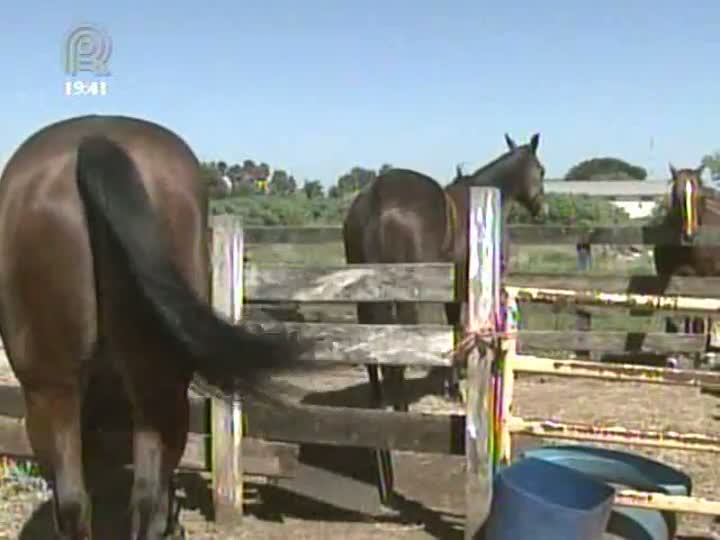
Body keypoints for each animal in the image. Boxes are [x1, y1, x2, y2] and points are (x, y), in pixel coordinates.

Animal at [344, 133, 544, 504]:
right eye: (541, 170)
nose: (543, 208)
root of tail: (377, 201)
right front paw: (456, 385)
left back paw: (378, 403)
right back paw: (401, 409)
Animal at [652, 163, 720, 368]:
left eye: (698, 196)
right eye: (676, 194)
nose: (689, 235)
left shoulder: (702, 281)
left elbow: (700, 318)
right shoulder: (673, 279)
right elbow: (677, 315)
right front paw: (674, 355)